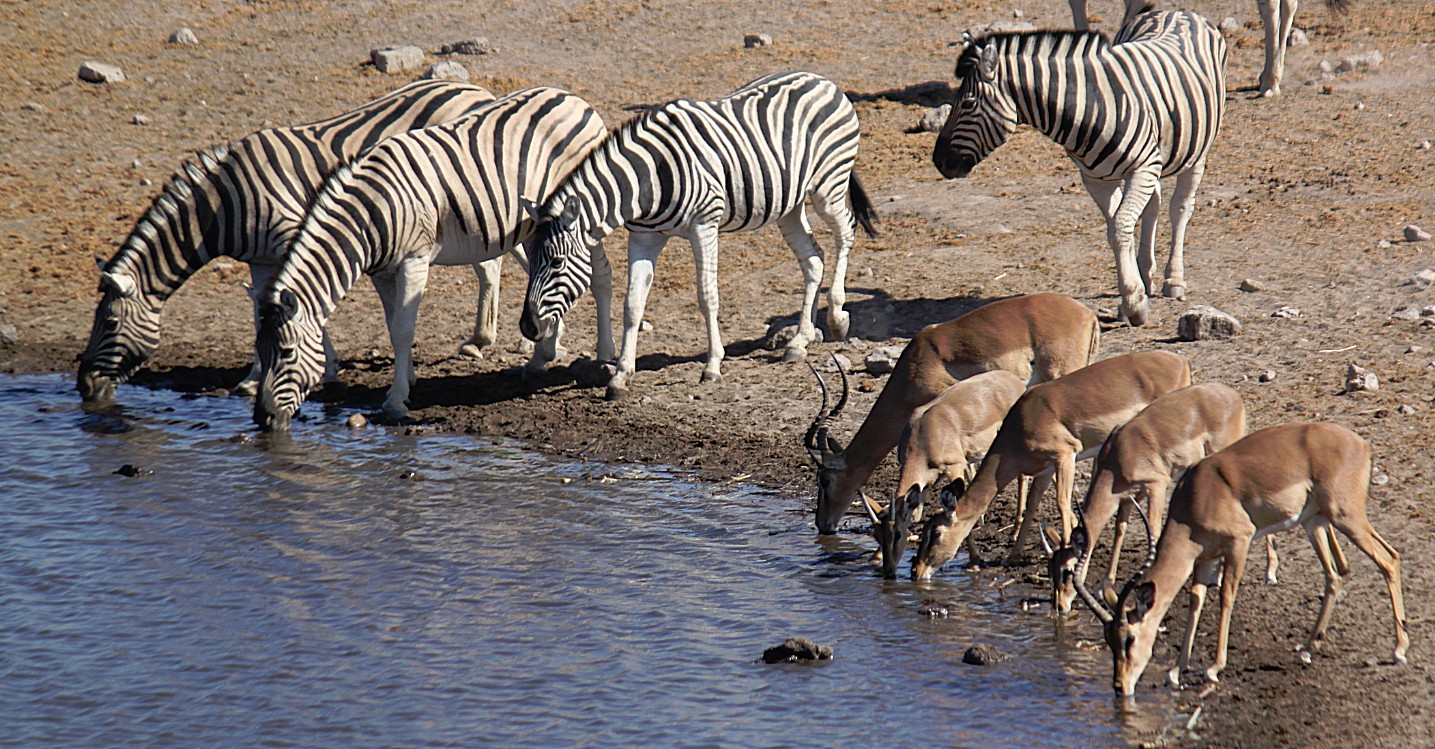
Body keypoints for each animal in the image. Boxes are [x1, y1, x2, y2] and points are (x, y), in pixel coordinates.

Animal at [78, 78, 496, 401]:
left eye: (109, 323)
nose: (84, 387)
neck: (227, 205)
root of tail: (475, 89)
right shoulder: (261, 260)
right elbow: (260, 310)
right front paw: (253, 378)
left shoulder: (294, 235)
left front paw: (327, 368)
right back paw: (481, 337)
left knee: (496, 264)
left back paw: (492, 340)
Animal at [253, 86, 611, 424]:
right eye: (259, 350)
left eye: (287, 352)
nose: (262, 417)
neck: (371, 211)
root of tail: (572, 98)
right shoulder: (382, 271)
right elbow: (392, 324)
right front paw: (408, 378)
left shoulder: (414, 260)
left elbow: (403, 329)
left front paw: (396, 399)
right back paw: (541, 355)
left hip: (582, 215)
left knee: (600, 276)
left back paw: (603, 355)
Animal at [516, 70, 872, 398]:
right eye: (530, 261)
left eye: (558, 262)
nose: (527, 327)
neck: (649, 180)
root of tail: (820, 79)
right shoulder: (644, 237)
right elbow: (632, 305)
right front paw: (620, 376)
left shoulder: (704, 225)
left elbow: (706, 295)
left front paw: (712, 366)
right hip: (790, 204)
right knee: (813, 259)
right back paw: (801, 339)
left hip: (828, 185)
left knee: (845, 233)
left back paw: (837, 317)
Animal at [935, 8, 1228, 322]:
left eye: (967, 103)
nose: (938, 161)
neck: (1089, 106)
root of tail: (1177, 11)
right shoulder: (1096, 178)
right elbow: (1117, 230)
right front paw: (1133, 294)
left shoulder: (1141, 168)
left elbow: (1121, 227)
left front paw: (1134, 303)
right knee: (1154, 204)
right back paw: (1147, 274)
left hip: (1195, 153)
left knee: (1180, 209)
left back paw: (1174, 280)